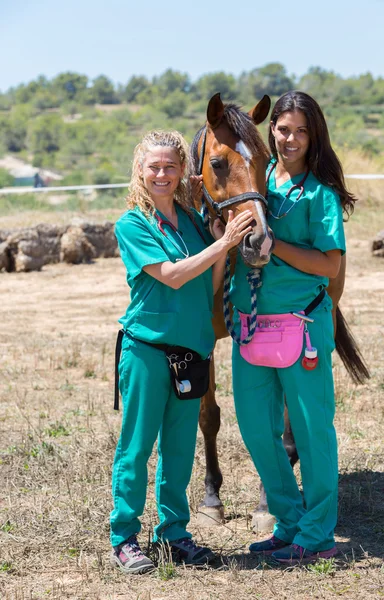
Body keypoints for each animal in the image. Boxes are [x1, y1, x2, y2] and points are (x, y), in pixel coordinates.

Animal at [191, 92, 368, 528]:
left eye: (262, 161)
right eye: (217, 163)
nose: (259, 241)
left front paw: (264, 505)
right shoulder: (201, 339)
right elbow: (209, 417)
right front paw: (211, 498)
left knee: (290, 422)